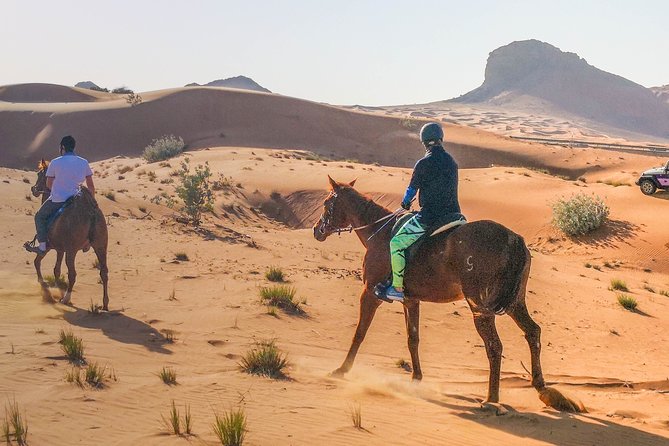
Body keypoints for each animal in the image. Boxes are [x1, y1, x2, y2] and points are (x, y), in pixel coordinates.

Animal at [28, 160, 110, 310]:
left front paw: (44, 287)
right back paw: (105, 304)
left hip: (72, 250)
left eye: (39, 174)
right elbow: (56, 270)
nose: (34, 189)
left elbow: (38, 262)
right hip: (101, 246)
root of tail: (91, 213)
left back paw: (66, 299)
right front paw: (57, 289)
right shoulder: (60, 248)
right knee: (104, 272)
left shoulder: (49, 246)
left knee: (72, 273)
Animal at [313, 176, 583, 412]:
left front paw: (341, 370)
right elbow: (413, 338)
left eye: (327, 203)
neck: (378, 232)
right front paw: (416, 378)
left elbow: (359, 333)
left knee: (494, 346)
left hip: (480, 307)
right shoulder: (410, 300)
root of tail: (515, 240)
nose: (317, 230)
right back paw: (542, 388)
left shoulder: (370, 292)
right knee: (532, 332)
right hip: (516, 302)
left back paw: (491, 399)